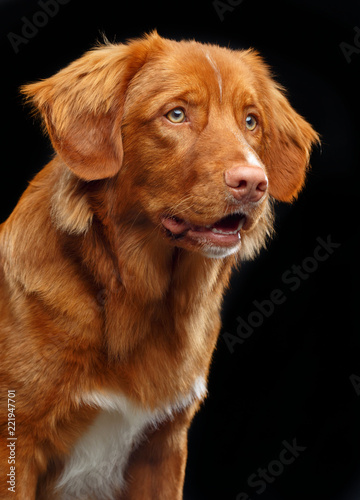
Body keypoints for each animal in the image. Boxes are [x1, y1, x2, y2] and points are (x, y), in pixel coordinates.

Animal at [0, 32, 318, 500]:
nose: (254, 183)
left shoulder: (163, 446)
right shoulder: (19, 441)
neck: (136, 297)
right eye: (177, 114)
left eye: (251, 121)